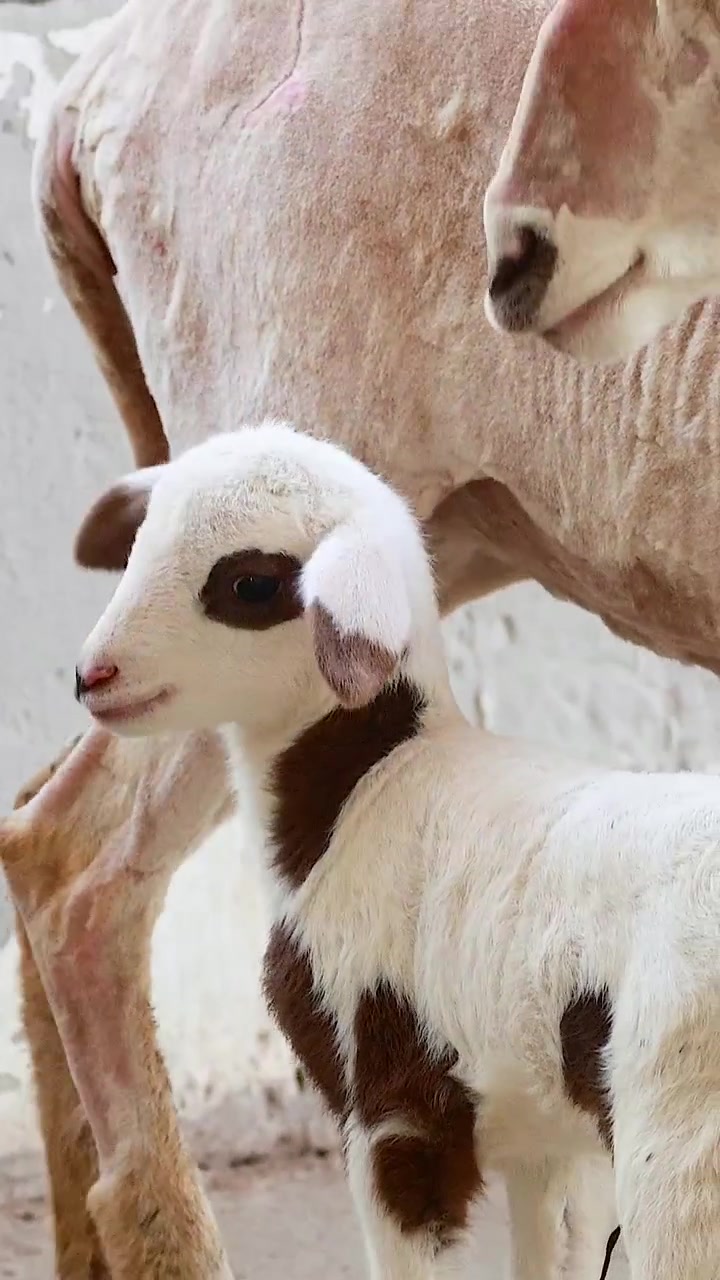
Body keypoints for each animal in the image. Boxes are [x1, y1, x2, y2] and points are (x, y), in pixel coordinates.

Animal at [71, 419, 720, 1280]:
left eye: (250, 586)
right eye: (139, 545)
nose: (92, 676)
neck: (369, 786)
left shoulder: (394, 1106)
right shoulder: (550, 1135)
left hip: (678, 1133)